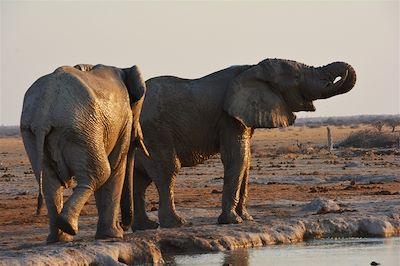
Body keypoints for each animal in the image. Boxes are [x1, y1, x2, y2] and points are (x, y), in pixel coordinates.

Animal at [20, 63, 147, 242]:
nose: (124, 225)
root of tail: (43, 116)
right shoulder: (124, 121)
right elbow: (116, 166)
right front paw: (112, 236)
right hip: (81, 128)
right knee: (101, 173)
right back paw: (68, 226)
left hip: (31, 133)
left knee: (50, 182)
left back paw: (59, 238)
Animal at [124, 58, 356, 231]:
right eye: (297, 77)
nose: (333, 80)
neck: (252, 68)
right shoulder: (229, 117)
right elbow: (237, 157)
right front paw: (232, 221)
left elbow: (246, 160)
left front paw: (247, 218)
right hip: (154, 132)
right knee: (167, 170)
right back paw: (177, 224)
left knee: (140, 179)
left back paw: (146, 226)